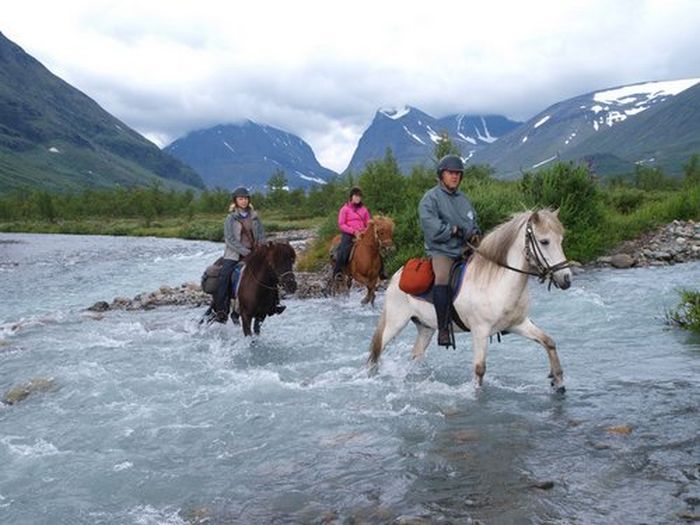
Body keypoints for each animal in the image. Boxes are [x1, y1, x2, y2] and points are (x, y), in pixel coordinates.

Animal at [370, 211, 572, 390]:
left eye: (561, 240)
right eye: (544, 241)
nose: (567, 278)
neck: (497, 282)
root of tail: (396, 276)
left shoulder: (518, 324)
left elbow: (549, 342)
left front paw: (558, 382)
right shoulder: (480, 331)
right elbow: (479, 370)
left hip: (425, 328)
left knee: (415, 355)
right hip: (394, 324)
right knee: (376, 352)